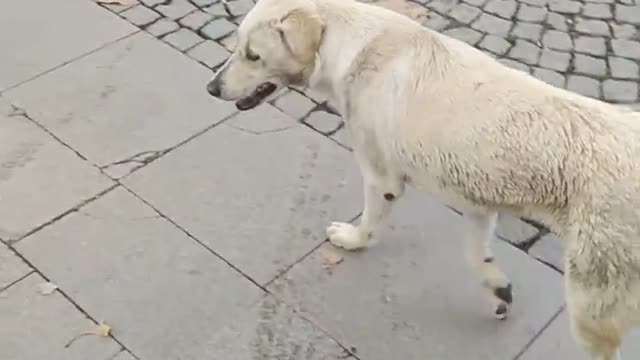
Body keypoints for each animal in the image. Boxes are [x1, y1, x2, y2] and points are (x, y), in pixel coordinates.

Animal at [208, 0, 640, 358]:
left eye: (252, 54)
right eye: (237, 46)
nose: (211, 87)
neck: (352, 46)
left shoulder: (380, 175)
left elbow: (370, 221)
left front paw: (352, 239)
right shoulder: (477, 200)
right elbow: (475, 254)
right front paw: (497, 288)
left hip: (591, 300)